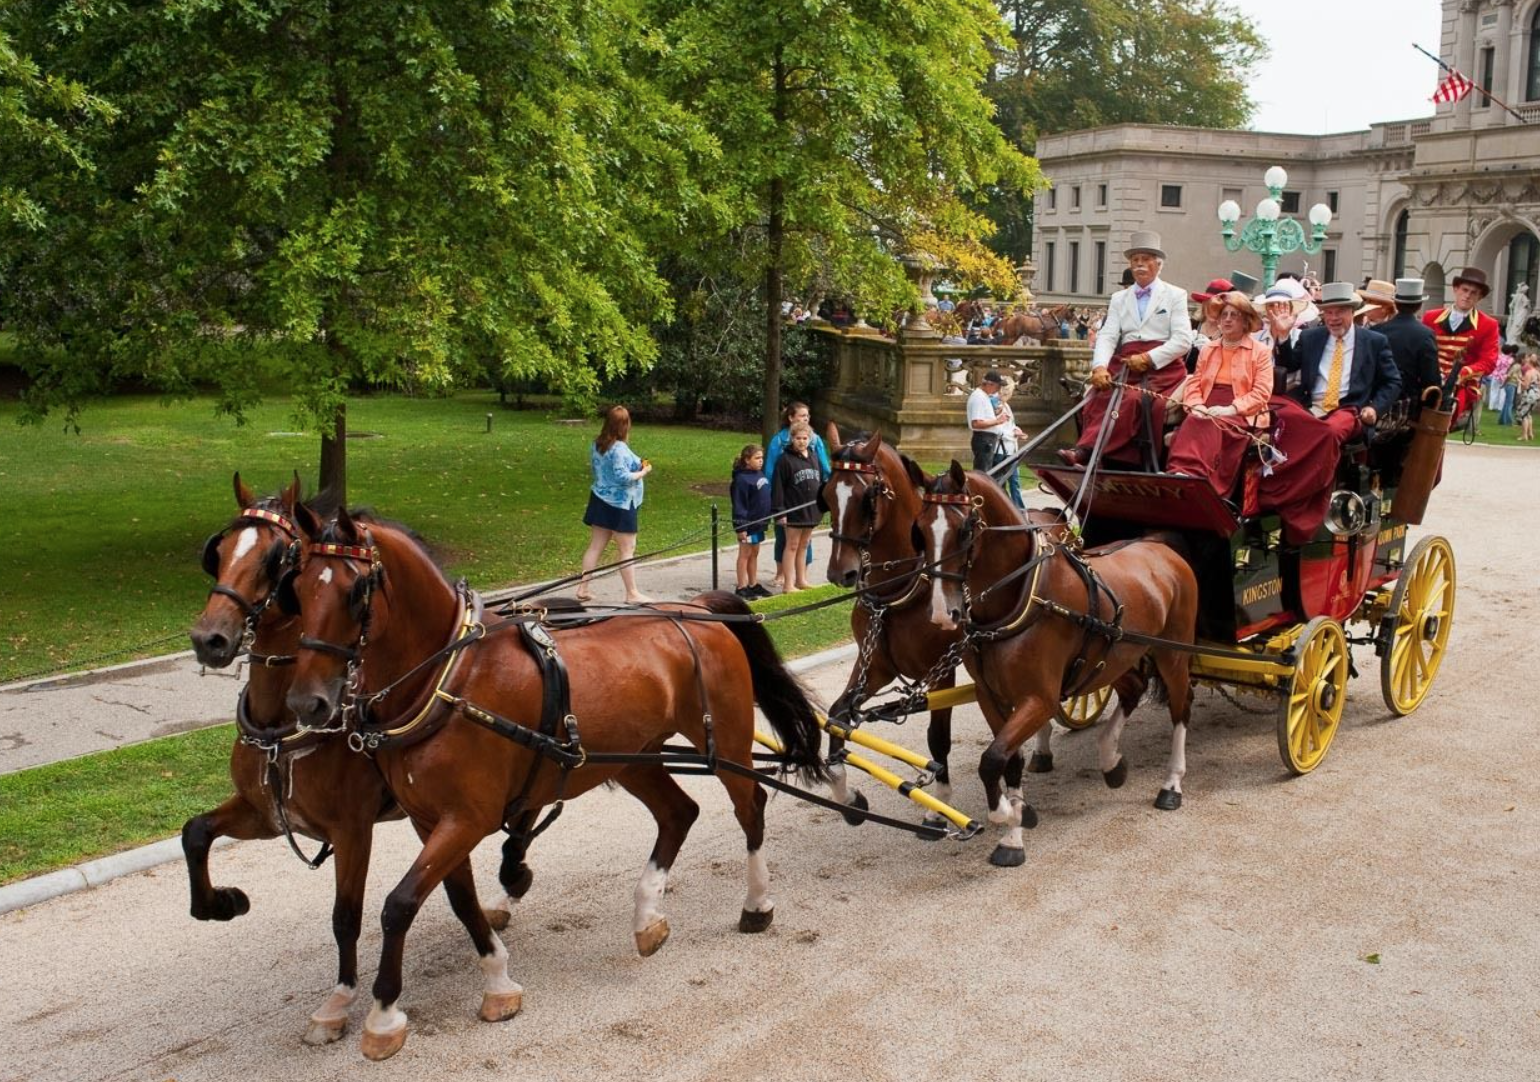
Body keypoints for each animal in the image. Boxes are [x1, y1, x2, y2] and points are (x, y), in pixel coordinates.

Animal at [185, 477, 511, 1046]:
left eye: (277, 559)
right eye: (218, 552)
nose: (210, 639)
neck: (281, 722)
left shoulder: (353, 828)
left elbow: (346, 915)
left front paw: (341, 1002)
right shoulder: (267, 812)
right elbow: (196, 831)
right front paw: (220, 902)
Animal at [281, 510, 825, 1065]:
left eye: (355, 590)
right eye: (296, 589)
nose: (307, 703)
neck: (450, 678)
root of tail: (695, 609)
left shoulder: (467, 819)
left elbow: (399, 904)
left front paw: (385, 1014)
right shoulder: (429, 819)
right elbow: (458, 899)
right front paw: (496, 978)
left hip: (728, 740)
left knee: (749, 807)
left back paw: (756, 904)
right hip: (632, 757)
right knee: (679, 813)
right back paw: (647, 915)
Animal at [911, 461, 1201, 868]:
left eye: (965, 528)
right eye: (919, 530)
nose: (941, 612)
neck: (1021, 598)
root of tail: (1158, 544)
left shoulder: (1040, 700)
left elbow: (992, 759)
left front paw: (1008, 814)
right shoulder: (990, 696)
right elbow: (1008, 760)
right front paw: (1014, 830)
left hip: (1172, 653)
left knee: (1180, 706)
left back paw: (1172, 783)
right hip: (1113, 658)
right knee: (1133, 690)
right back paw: (1111, 759)